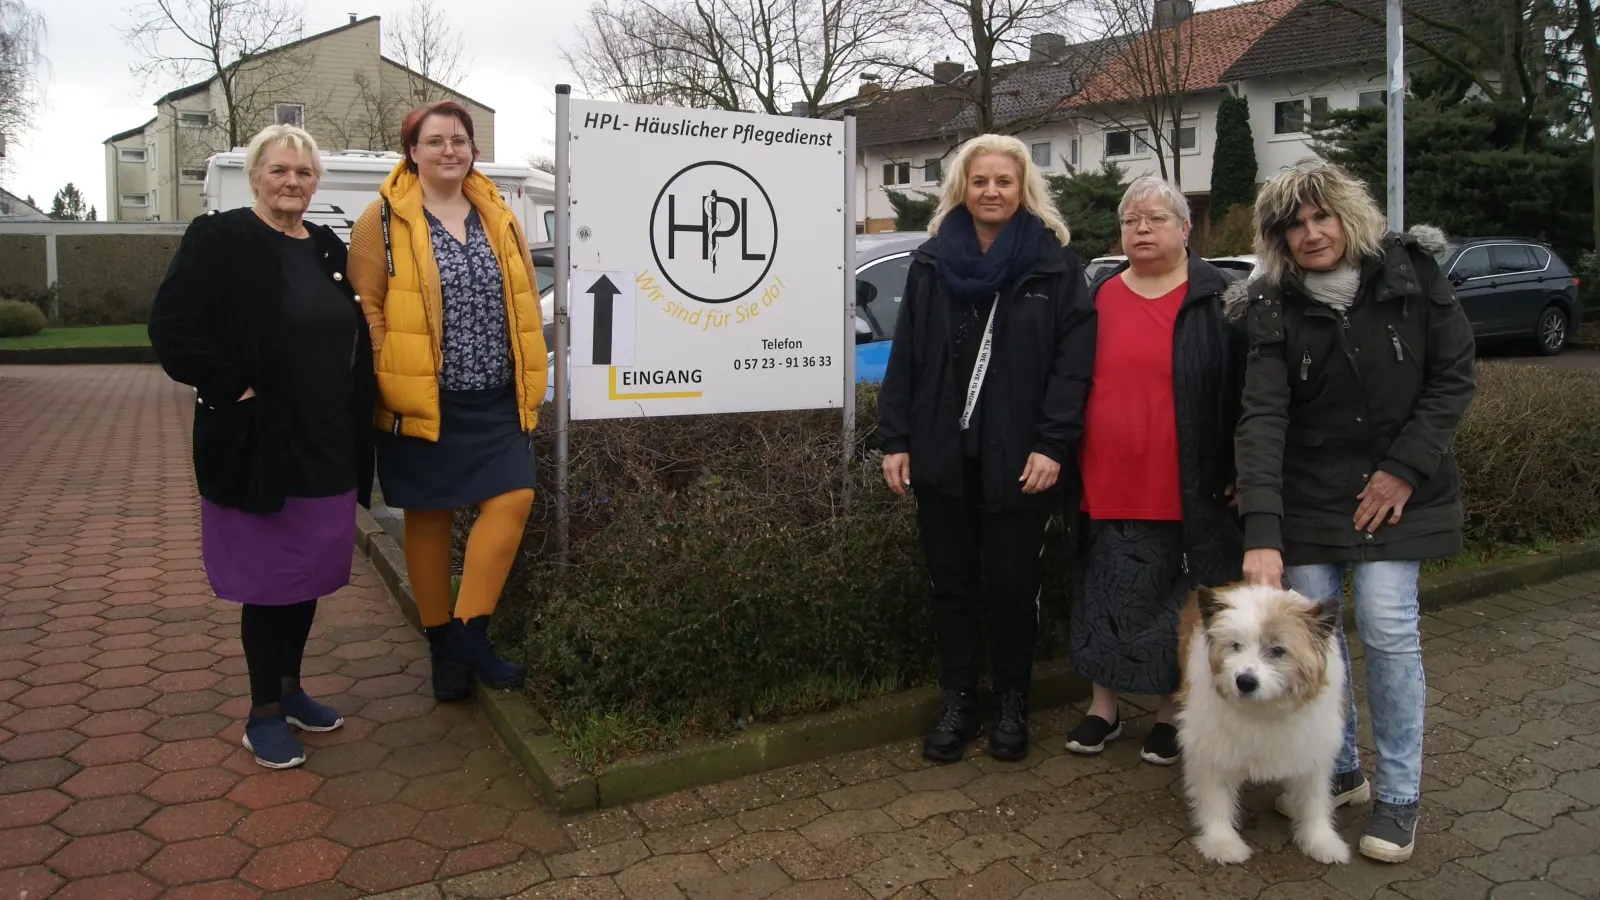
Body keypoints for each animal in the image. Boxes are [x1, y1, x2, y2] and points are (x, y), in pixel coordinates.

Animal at [1177, 582, 1350, 864]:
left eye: (1278, 650)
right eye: (1235, 645)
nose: (1245, 682)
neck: (1264, 710)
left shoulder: (1313, 748)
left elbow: (1314, 799)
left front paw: (1321, 840)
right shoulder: (1212, 745)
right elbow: (1215, 796)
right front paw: (1222, 841)